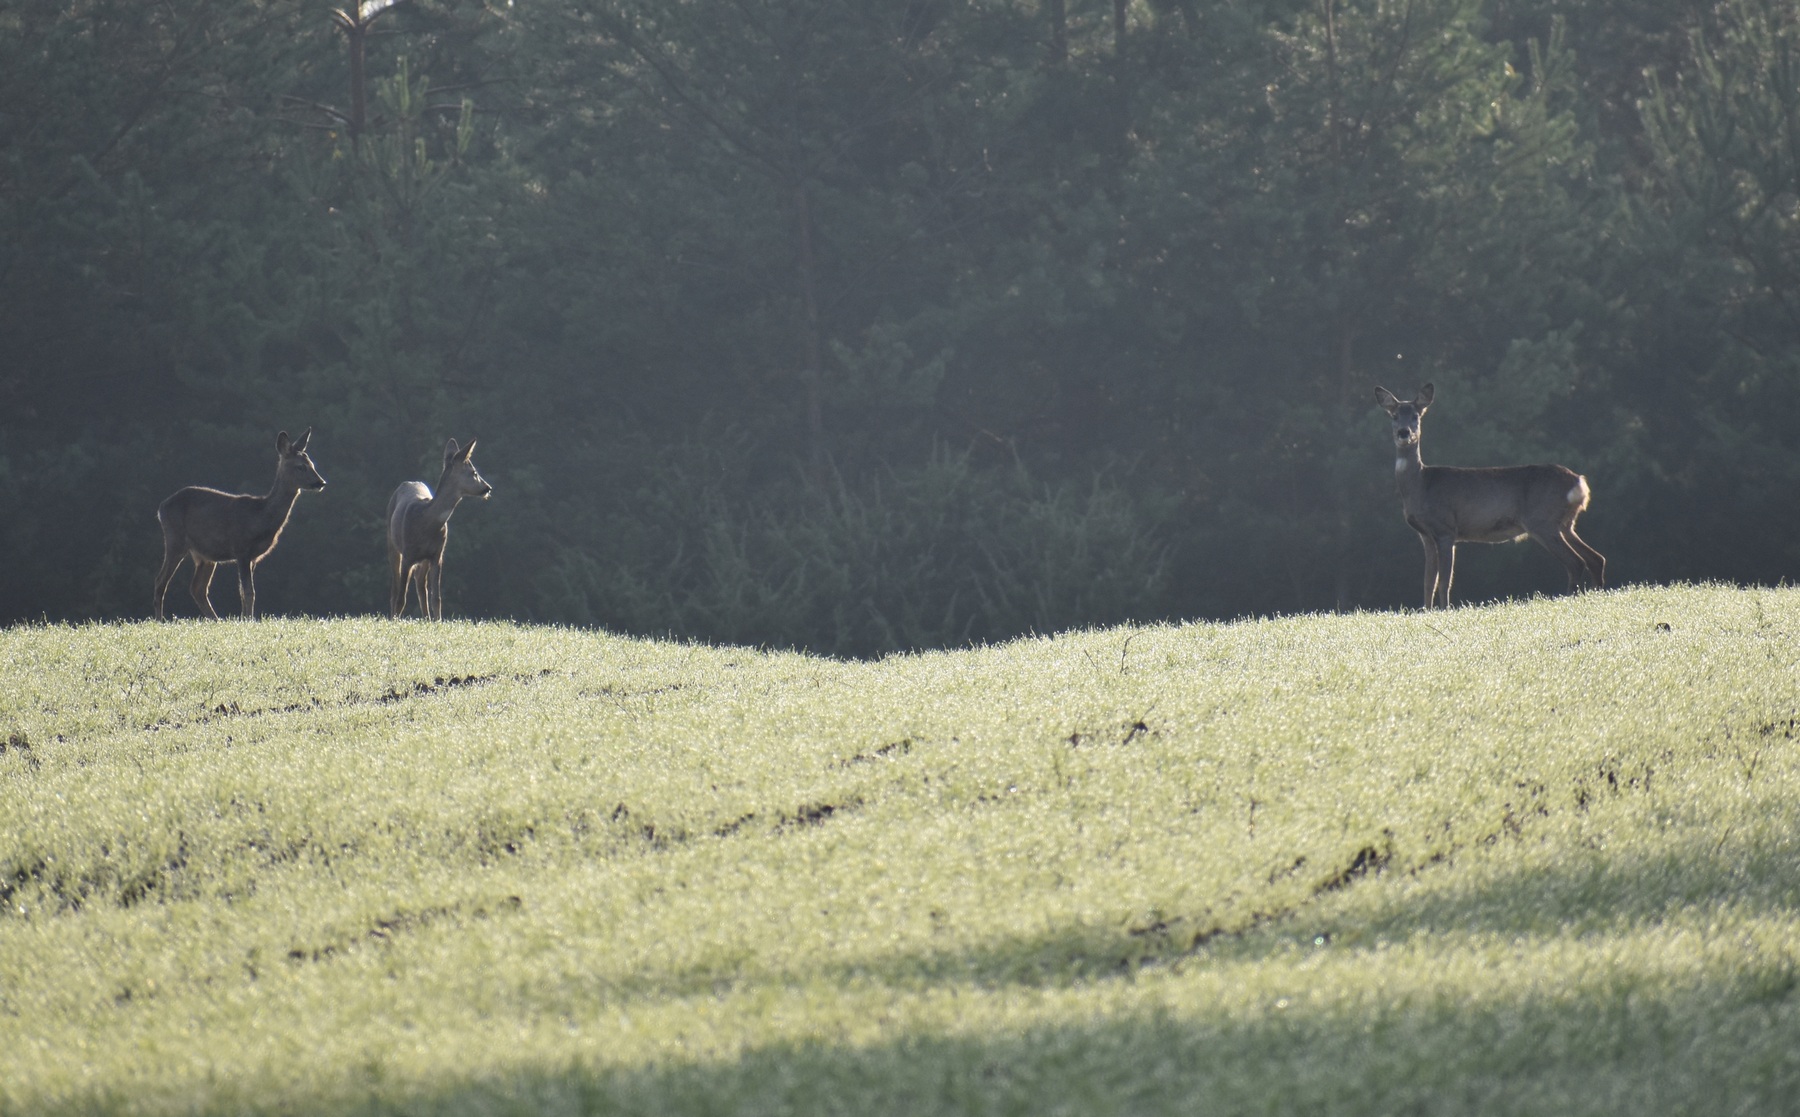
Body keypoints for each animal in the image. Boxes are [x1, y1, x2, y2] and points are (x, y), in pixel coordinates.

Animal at [153, 426, 329, 618]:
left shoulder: (253, 557)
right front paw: (249, 619)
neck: (260, 517)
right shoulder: (241, 549)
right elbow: (248, 591)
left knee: (197, 588)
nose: (321, 482)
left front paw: (244, 618)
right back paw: (161, 620)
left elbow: (244, 592)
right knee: (161, 581)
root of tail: (161, 507)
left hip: (204, 554)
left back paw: (215, 619)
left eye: (312, 464)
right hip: (175, 539)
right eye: (300, 466)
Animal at [383, 437, 489, 618]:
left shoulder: (437, 554)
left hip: (424, 559)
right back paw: (394, 617)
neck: (426, 523)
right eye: (474, 472)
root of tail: (407, 482)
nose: (488, 488)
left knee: (421, 585)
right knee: (395, 590)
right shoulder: (408, 554)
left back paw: (426, 618)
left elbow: (436, 598)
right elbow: (401, 599)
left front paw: (437, 621)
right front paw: (395, 620)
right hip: (392, 543)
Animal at [1375, 383, 1605, 611]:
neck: (1421, 485)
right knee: (1596, 558)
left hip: (1543, 521)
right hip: (1564, 523)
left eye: (1416, 415)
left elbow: (1444, 580)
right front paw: (1426, 611)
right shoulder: (1426, 535)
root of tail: (1578, 481)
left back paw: (1570, 598)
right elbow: (1428, 580)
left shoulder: (1446, 528)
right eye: (1394, 415)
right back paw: (1596, 595)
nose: (1404, 432)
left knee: (1576, 562)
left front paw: (1444, 610)